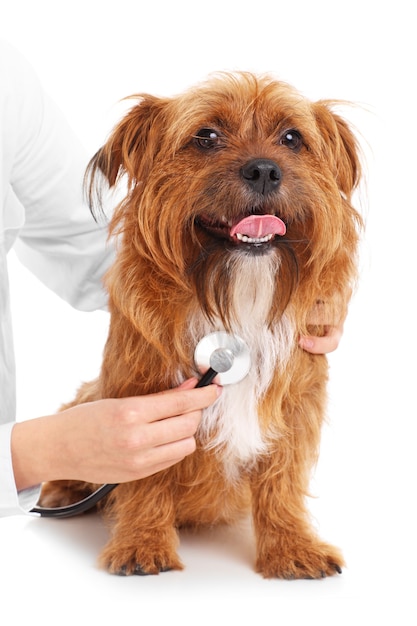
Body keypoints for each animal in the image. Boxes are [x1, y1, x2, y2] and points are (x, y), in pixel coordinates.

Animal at [40, 74, 362, 580]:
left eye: (292, 138)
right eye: (206, 137)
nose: (264, 170)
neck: (236, 295)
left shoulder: (295, 408)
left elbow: (282, 480)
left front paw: (291, 546)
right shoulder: (141, 402)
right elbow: (146, 479)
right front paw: (143, 543)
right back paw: (62, 490)